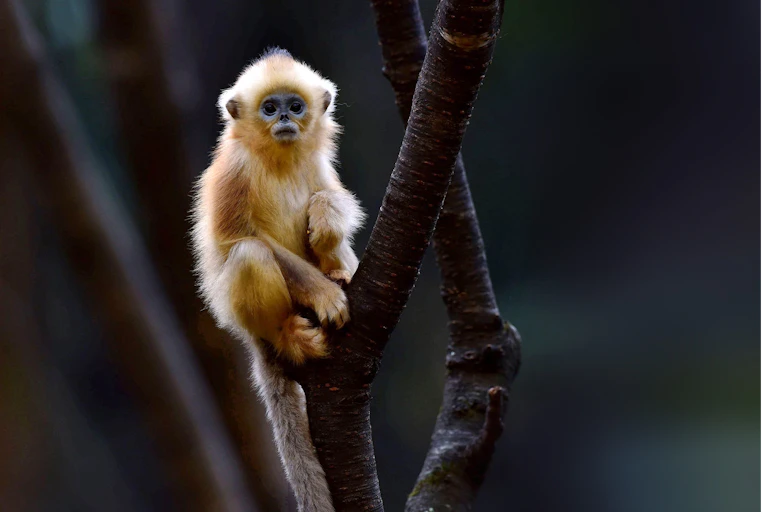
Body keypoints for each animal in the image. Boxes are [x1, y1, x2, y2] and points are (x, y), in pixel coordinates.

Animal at [191, 48, 364, 512]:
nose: (284, 117)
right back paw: (288, 331)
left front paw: (327, 218)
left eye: (295, 106)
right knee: (251, 254)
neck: (279, 158)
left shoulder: (317, 165)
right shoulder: (234, 171)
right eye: (270, 108)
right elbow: (237, 240)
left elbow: (332, 201)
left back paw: (336, 267)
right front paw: (325, 296)